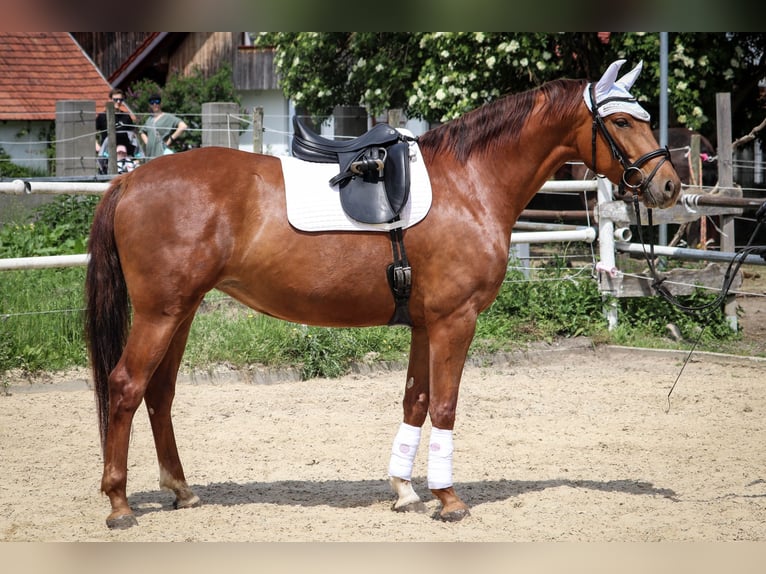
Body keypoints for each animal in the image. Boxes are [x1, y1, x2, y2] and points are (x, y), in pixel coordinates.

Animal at [85, 59, 684, 532]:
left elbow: (415, 400)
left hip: (181, 312)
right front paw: (448, 499)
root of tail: (130, 181)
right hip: (160, 314)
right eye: (622, 120)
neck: (469, 183)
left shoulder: (425, 323)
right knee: (126, 386)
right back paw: (118, 504)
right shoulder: (454, 320)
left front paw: (404, 490)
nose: (670, 185)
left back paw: (181, 490)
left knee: (160, 394)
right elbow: (444, 404)